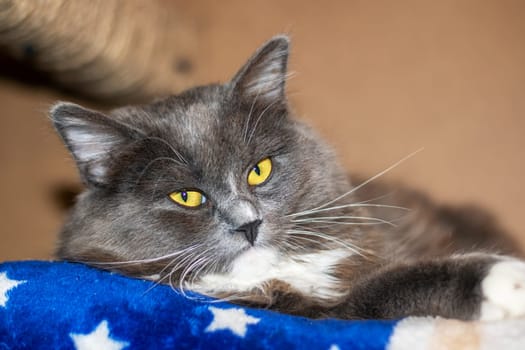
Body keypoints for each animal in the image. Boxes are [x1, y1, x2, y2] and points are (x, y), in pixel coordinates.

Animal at [51, 37, 524, 322]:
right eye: (186, 196)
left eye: (259, 170)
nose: (248, 223)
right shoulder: (318, 316)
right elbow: (381, 289)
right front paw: (507, 281)